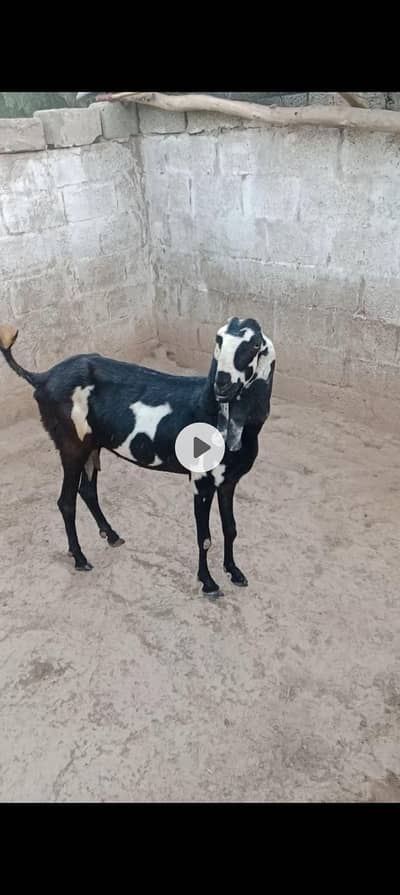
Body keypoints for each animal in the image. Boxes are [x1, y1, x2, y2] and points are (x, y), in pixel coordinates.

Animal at [0, 317, 275, 597]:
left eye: (255, 344)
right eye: (218, 339)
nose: (222, 384)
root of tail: (42, 378)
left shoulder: (229, 480)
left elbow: (230, 528)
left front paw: (235, 572)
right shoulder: (201, 481)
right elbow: (205, 537)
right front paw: (208, 583)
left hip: (91, 445)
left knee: (86, 490)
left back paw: (111, 536)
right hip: (71, 446)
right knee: (66, 501)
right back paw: (80, 558)